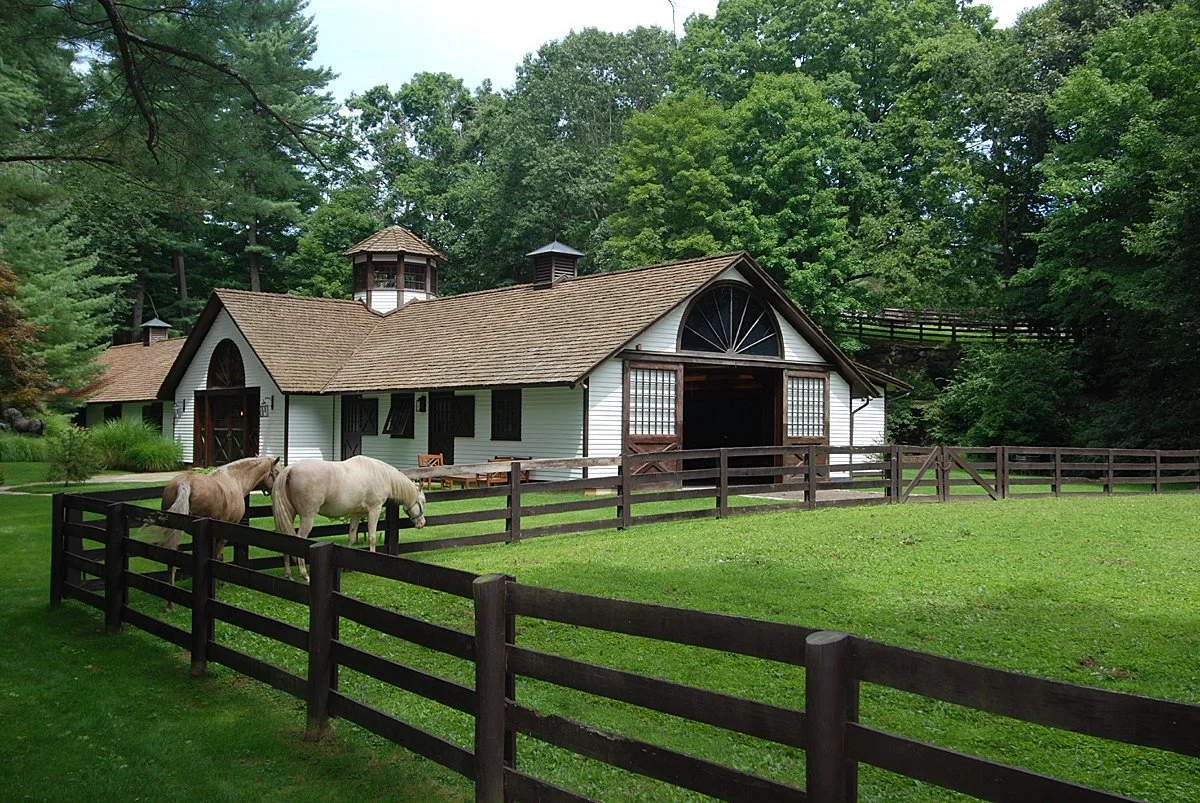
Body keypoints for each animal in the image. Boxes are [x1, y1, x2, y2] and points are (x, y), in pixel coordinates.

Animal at [156, 451, 279, 607]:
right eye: (277, 472)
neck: (235, 479)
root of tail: (186, 483)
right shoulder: (225, 531)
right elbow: (217, 556)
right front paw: (221, 582)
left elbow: (218, 556)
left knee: (171, 562)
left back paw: (170, 604)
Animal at [272, 453, 427, 578]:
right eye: (423, 501)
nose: (422, 523)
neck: (381, 474)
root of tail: (290, 469)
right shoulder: (374, 510)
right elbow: (372, 538)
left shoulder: (356, 513)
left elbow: (352, 537)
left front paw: (348, 567)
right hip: (307, 517)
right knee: (299, 539)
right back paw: (304, 574)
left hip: (289, 515)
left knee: (284, 538)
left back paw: (288, 574)